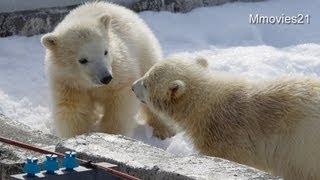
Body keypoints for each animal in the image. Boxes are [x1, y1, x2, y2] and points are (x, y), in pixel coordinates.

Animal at [41, 1, 175, 139]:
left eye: (105, 51)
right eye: (82, 60)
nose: (106, 78)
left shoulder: (119, 70)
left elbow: (119, 106)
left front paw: (111, 133)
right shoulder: (68, 83)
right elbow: (73, 110)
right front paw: (79, 134)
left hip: (144, 53)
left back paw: (164, 129)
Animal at [132, 57, 320, 180]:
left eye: (146, 82)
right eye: (148, 72)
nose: (133, 86)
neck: (205, 105)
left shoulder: (225, 139)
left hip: (302, 148)